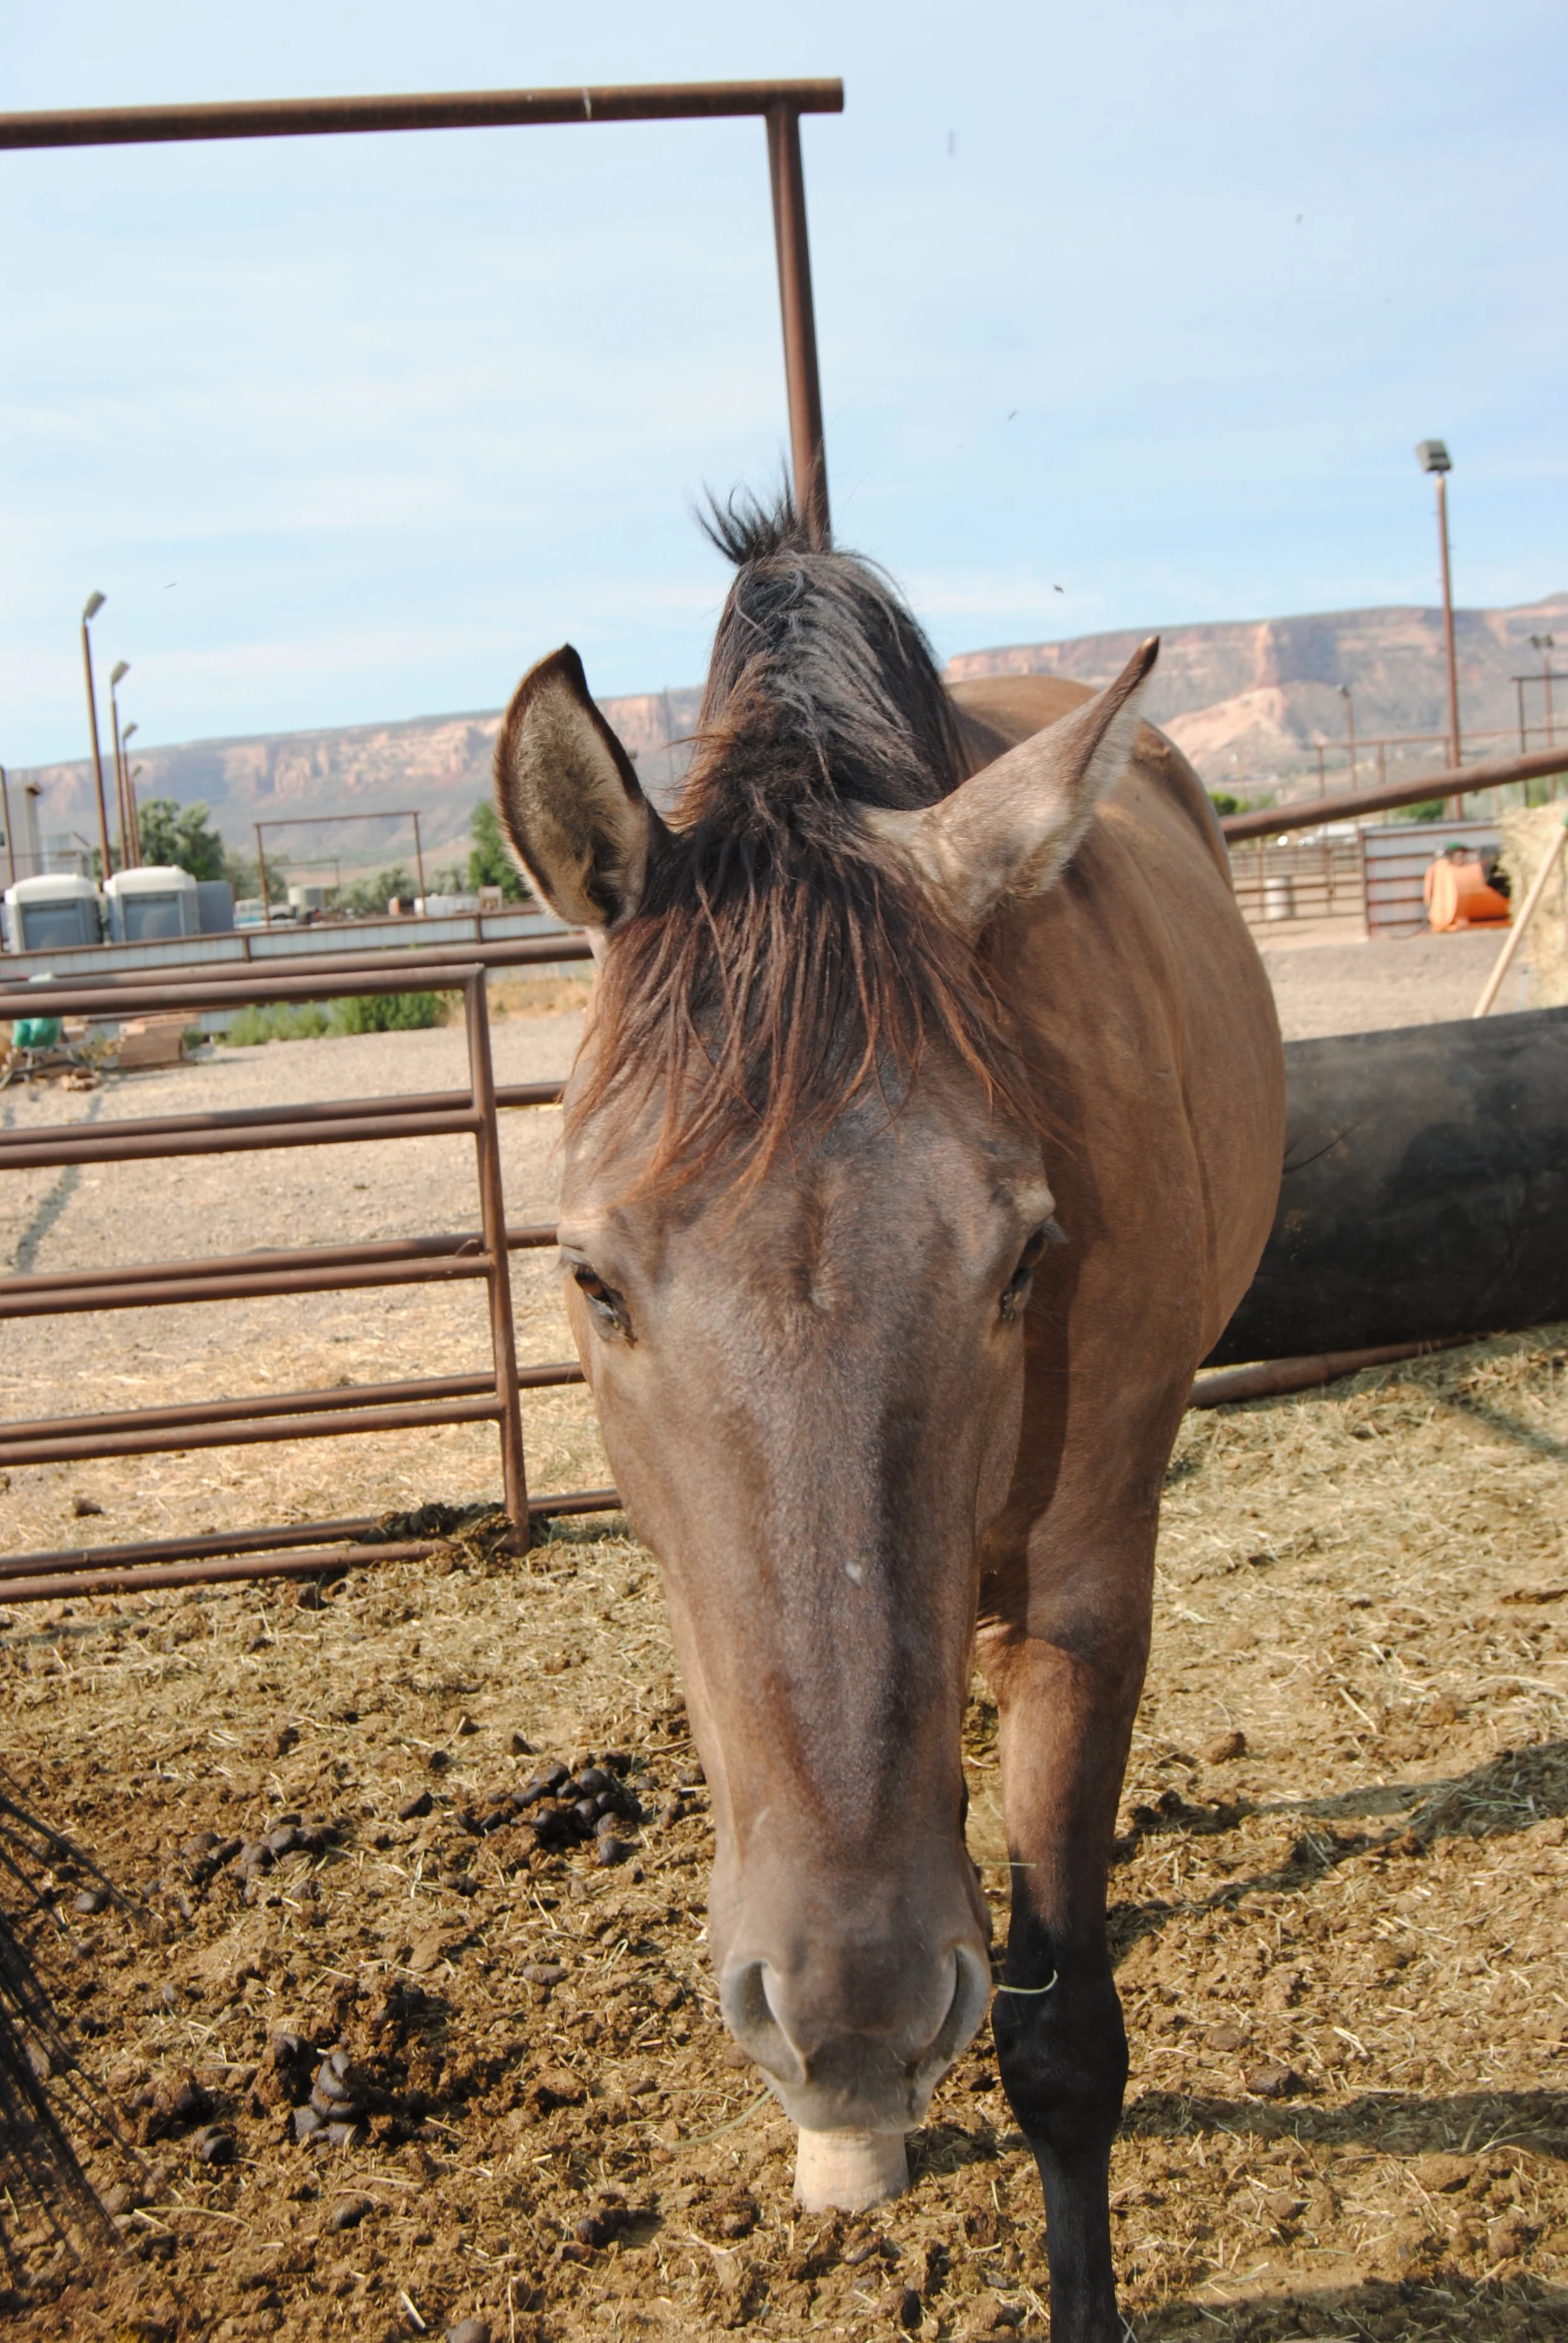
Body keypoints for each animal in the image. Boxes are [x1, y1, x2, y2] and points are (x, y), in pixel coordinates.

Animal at [493, 496, 1284, 2341]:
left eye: (1024, 1254)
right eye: (592, 1278)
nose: (854, 2005)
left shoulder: (1085, 1587)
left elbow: (1062, 2037)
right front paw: (841, 2132)